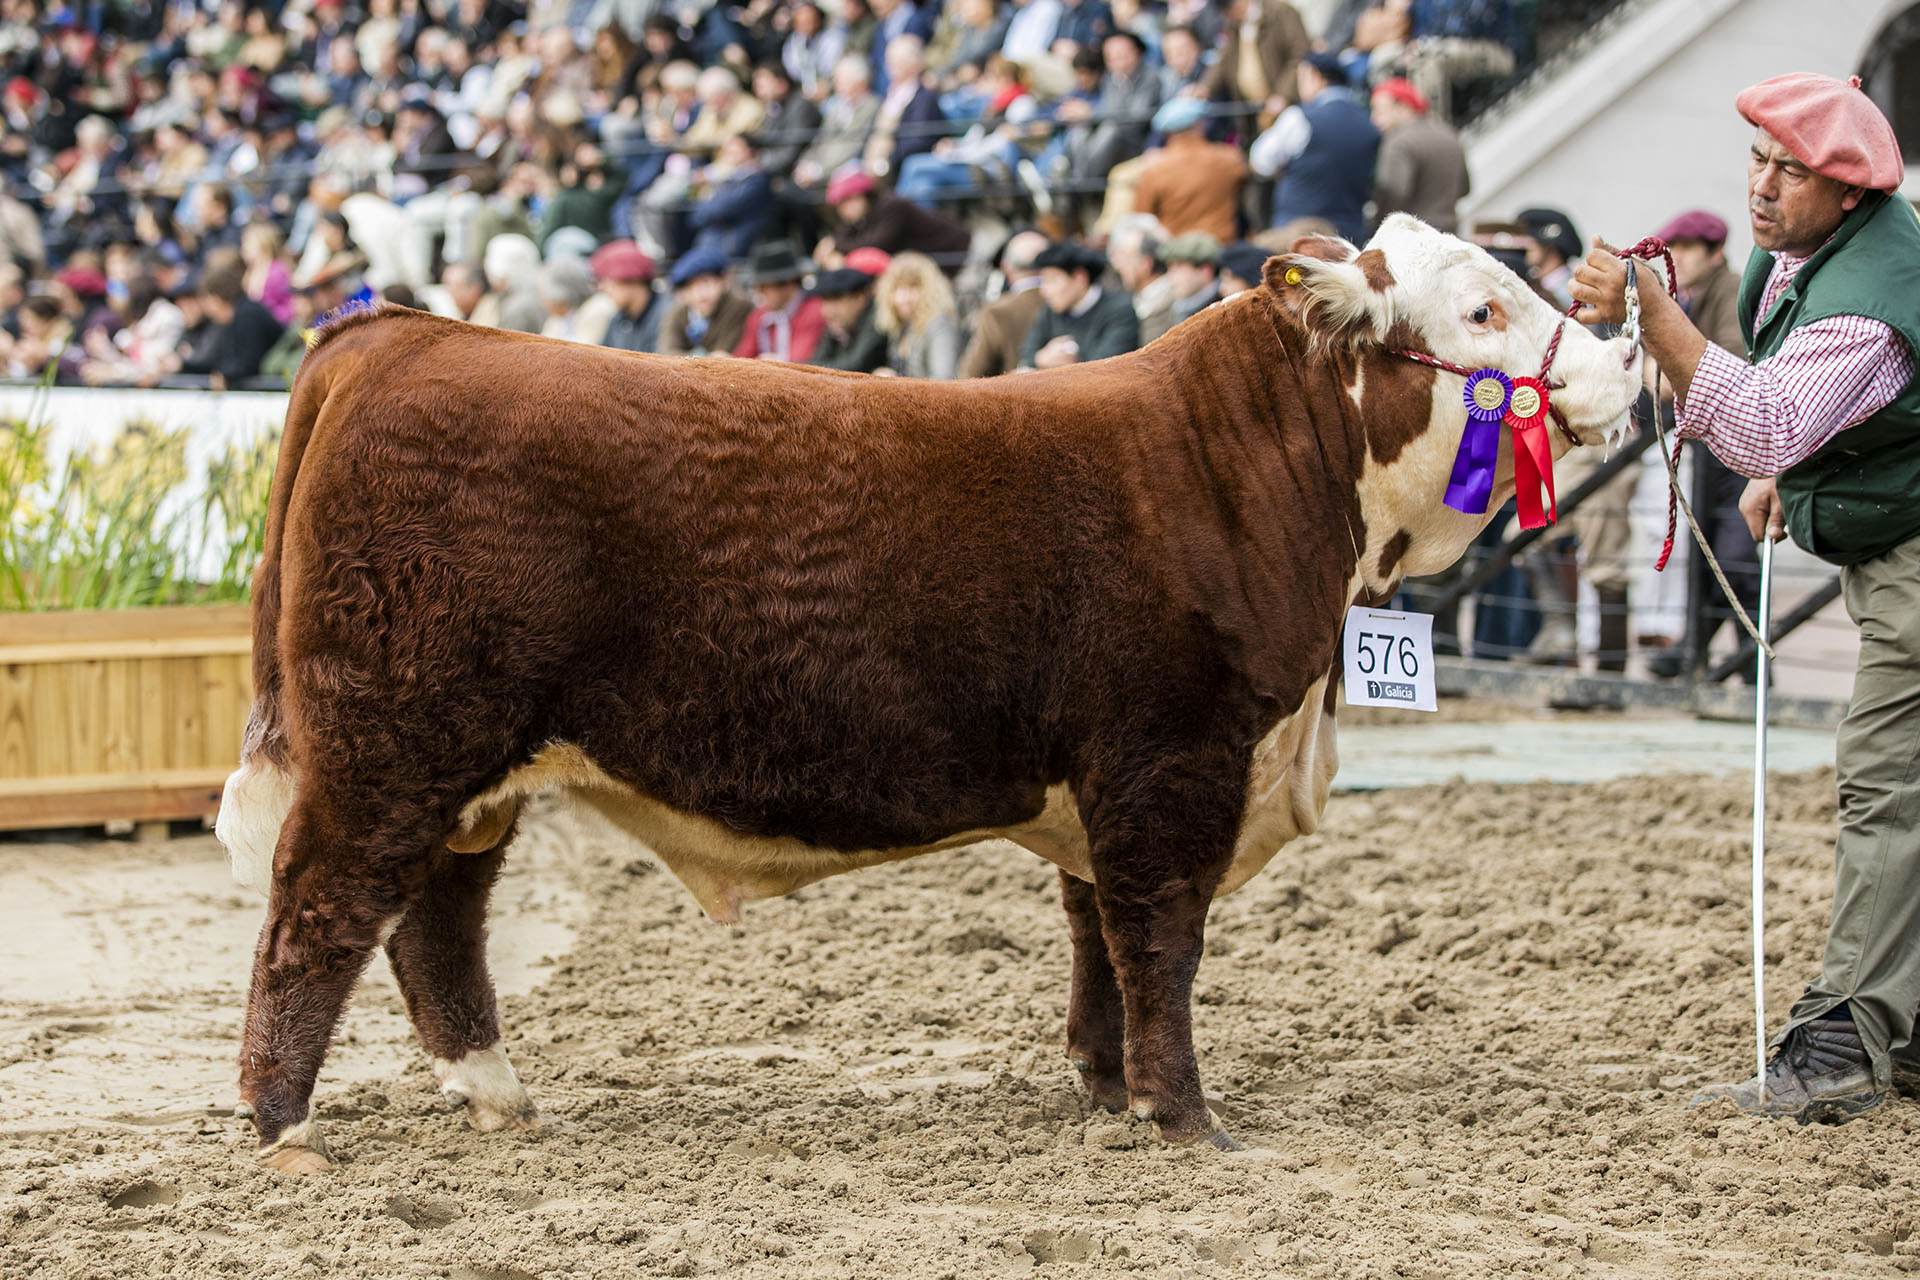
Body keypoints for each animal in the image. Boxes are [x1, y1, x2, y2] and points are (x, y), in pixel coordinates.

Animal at [217, 217, 1643, 1174]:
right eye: (1482, 312)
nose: (1625, 370)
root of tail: (403, 332)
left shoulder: (1111, 780)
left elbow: (1097, 935)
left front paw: (1104, 1087)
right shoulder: (1171, 760)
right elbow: (1161, 938)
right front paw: (1186, 1118)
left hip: (474, 765)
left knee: (434, 920)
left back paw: (496, 1093)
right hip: (394, 743)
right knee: (320, 909)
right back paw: (285, 1130)